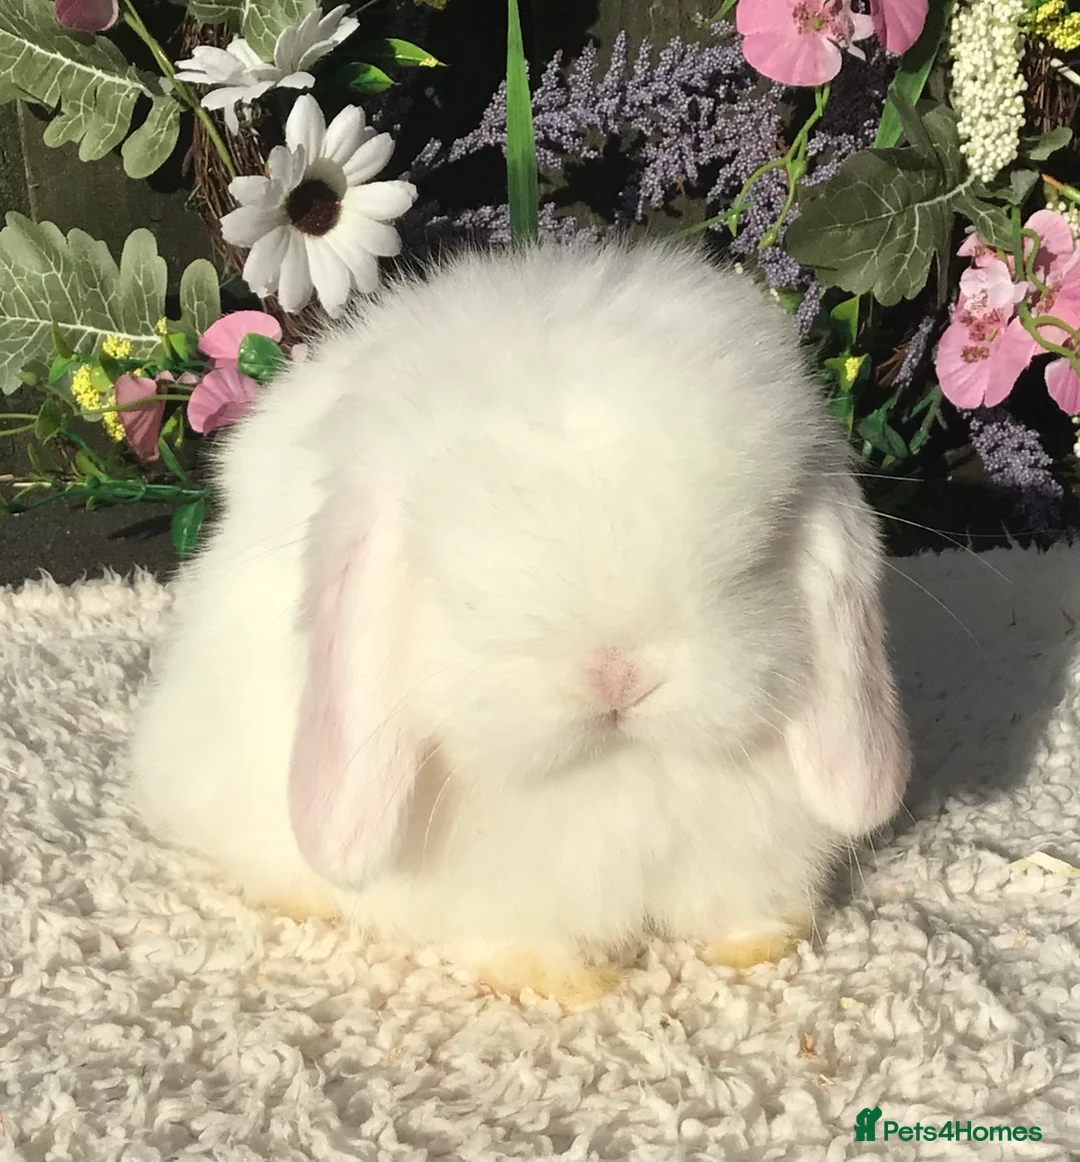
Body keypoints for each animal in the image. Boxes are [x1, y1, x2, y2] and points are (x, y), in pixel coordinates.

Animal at [129, 239, 910, 1005]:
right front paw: (571, 985)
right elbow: (511, 940)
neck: (617, 772)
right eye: (465, 590)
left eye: (750, 560)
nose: (618, 676)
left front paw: (760, 946)